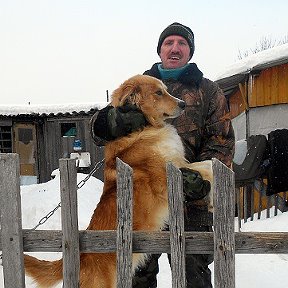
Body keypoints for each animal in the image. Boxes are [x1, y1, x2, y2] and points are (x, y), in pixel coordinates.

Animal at [24, 75, 212, 288]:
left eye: (165, 89)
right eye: (158, 92)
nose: (183, 104)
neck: (144, 130)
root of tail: (80, 256)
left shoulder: (178, 163)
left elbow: (207, 163)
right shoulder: (165, 175)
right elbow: (205, 169)